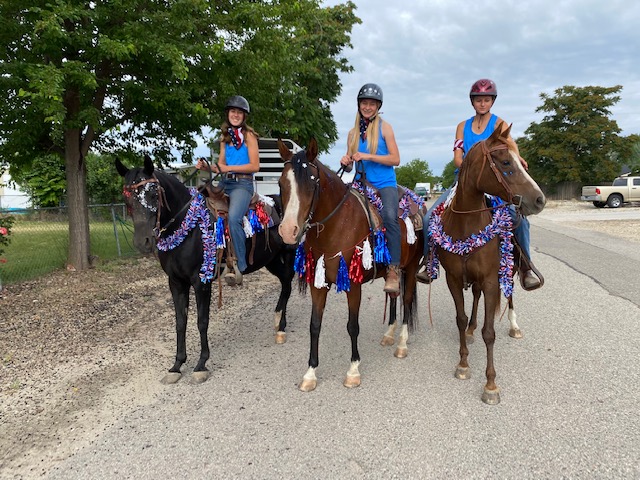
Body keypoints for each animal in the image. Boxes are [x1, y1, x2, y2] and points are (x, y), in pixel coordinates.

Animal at [116, 156, 296, 384]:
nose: (143, 242)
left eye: (153, 194)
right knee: (284, 283)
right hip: (270, 260)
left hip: (288, 254)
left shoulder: (201, 281)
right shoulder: (176, 282)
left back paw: (280, 327)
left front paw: (201, 365)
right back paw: (280, 322)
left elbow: (202, 321)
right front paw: (176, 366)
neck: (187, 226)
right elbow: (180, 322)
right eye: (127, 199)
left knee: (288, 284)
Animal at [430, 125, 544, 404]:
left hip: (509, 271)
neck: (466, 225)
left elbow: (489, 332)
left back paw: (514, 326)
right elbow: (460, 318)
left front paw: (491, 385)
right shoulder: (453, 279)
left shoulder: (492, 280)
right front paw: (463, 364)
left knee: (510, 296)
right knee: (475, 298)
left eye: (521, 161)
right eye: (505, 162)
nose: (539, 199)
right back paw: (472, 330)